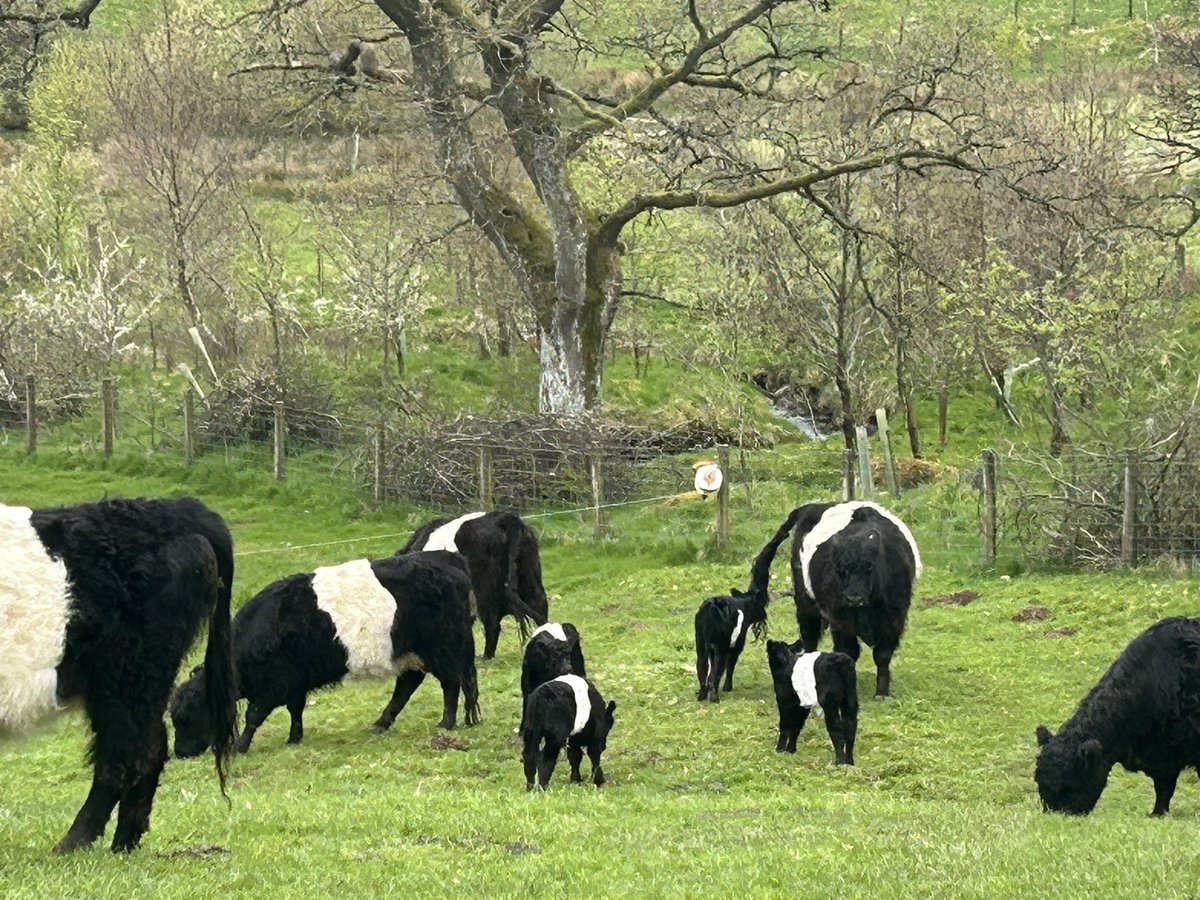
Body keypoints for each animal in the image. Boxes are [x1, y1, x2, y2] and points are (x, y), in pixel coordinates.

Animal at [0, 496, 236, 854]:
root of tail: (171, 508)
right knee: (150, 746)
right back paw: (124, 841)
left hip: (127, 673)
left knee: (126, 754)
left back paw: (75, 841)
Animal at [171, 554, 480, 758]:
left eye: (187, 716)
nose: (180, 753)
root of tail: (449, 564)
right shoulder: (294, 682)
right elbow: (295, 709)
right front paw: (294, 738)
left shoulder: (273, 685)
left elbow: (253, 715)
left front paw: (240, 746)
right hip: (410, 653)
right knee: (407, 686)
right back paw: (380, 723)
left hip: (443, 649)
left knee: (450, 684)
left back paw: (446, 722)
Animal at [403, 511, 552, 657]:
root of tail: (504, 517)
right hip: (529, 576)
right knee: (539, 604)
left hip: (484, 591)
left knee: (492, 623)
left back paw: (486, 657)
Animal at [763, 501, 921, 696]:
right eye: (840, 569)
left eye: (870, 568)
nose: (853, 599)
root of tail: (813, 506)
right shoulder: (841, 621)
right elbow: (848, 652)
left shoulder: (893, 618)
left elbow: (882, 655)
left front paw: (881, 692)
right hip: (805, 602)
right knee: (809, 638)